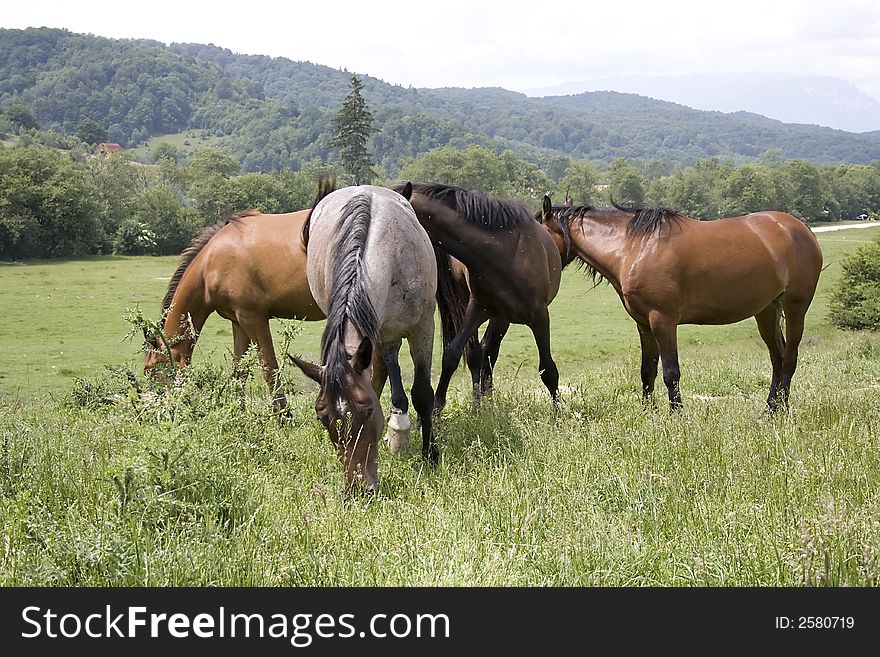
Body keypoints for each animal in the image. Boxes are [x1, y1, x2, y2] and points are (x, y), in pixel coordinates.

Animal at [144, 182, 334, 408]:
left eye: (150, 370)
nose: (147, 409)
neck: (211, 263)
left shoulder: (253, 317)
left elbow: (269, 368)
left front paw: (282, 414)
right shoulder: (238, 321)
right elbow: (239, 372)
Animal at [290, 182, 438, 490]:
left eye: (368, 411)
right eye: (322, 416)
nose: (359, 487)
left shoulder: (423, 326)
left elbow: (422, 393)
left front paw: (430, 455)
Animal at [394, 182, 564, 412]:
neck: (502, 254)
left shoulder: (538, 316)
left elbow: (547, 368)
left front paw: (558, 412)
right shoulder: (477, 309)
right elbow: (452, 355)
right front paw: (437, 408)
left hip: (504, 318)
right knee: (481, 352)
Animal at [540, 196, 820, 410]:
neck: (634, 247)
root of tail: (801, 229)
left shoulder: (662, 321)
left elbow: (670, 373)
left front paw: (677, 416)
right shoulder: (644, 324)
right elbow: (647, 371)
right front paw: (648, 414)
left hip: (795, 308)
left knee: (790, 359)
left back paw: (780, 411)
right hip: (766, 310)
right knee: (778, 357)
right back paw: (771, 409)